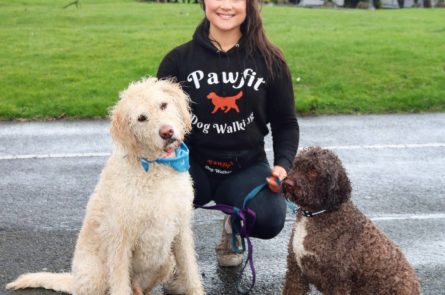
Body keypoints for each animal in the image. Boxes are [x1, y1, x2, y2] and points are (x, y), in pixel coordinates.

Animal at [6, 77, 204, 294]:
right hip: (96, 275)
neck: (155, 168)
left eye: (163, 105)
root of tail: (74, 280)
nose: (167, 132)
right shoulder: (120, 240)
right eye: (141, 118)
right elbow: (120, 285)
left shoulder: (181, 230)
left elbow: (191, 274)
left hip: (165, 261)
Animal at [280, 147, 420, 294]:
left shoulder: (338, 281)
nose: (288, 184)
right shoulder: (295, 273)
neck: (315, 214)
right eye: (296, 165)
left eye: (314, 171)